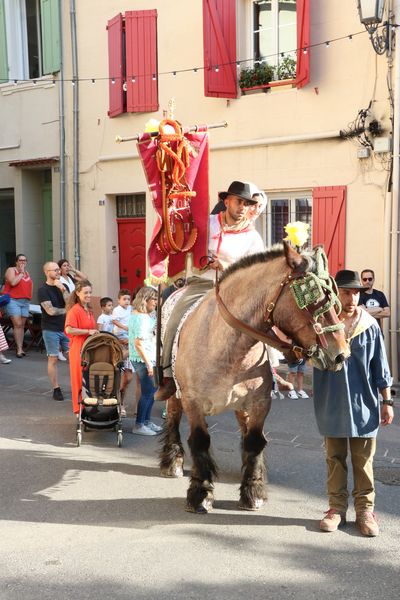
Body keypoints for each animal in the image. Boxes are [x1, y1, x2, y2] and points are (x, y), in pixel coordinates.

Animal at [159, 241, 350, 512]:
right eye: (311, 296)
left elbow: (254, 441)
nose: (341, 354)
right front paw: (200, 493)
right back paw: (172, 460)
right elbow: (200, 441)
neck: (226, 345)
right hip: (175, 392)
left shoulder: (259, 403)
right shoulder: (193, 402)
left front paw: (253, 490)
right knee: (173, 415)